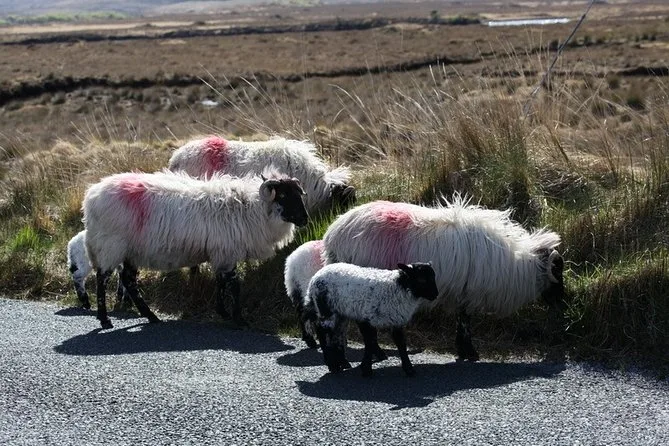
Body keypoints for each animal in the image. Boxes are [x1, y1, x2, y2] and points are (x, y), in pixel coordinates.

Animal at [82, 169, 308, 329]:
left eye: (299, 193)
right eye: (283, 195)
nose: (305, 219)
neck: (252, 209)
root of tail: (91, 197)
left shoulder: (221, 254)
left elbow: (221, 283)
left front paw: (223, 312)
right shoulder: (227, 252)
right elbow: (235, 286)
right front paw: (239, 319)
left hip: (130, 251)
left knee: (129, 281)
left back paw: (151, 316)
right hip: (111, 245)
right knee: (102, 278)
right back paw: (104, 319)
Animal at [303, 262, 439, 377]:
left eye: (433, 277)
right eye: (422, 279)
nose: (435, 295)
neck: (399, 286)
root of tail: (314, 279)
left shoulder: (396, 320)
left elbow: (400, 344)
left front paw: (409, 369)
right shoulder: (366, 317)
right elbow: (370, 341)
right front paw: (366, 369)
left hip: (340, 313)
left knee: (336, 334)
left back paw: (342, 362)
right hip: (326, 310)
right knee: (322, 332)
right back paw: (332, 364)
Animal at [322, 197, 565, 362]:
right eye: (558, 272)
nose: (562, 304)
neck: (515, 264)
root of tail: (335, 233)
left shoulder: (462, 292)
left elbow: (462, 319)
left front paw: (463, 350)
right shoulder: (469, 291)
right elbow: (465, 321)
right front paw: (470, 352)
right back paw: (376, 353)